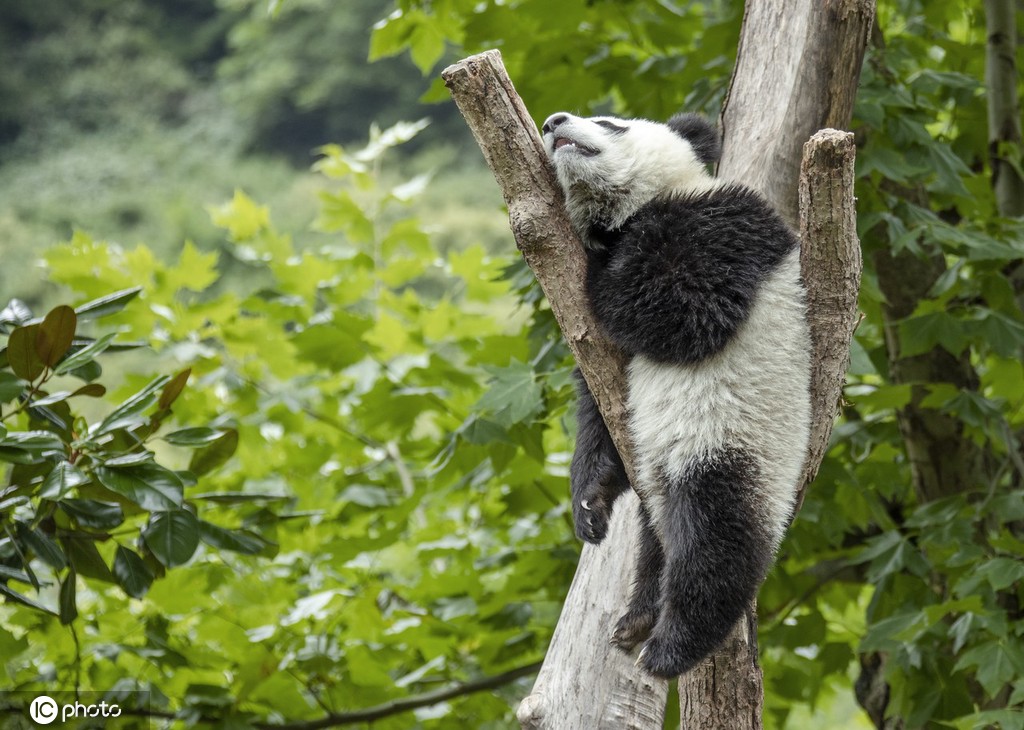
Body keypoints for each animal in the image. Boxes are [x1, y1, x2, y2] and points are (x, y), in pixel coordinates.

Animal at [540, 111, 811, 679]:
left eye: (610, 122)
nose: (554, 122)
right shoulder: (608, 362)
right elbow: (600, 413)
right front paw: (589, 503)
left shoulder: (723, 225)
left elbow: (684, 308)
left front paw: (605, 261)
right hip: (663, 478)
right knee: (655, 543)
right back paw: (638, 617)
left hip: (736, 445)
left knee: (715, 543)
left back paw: (671, 647)